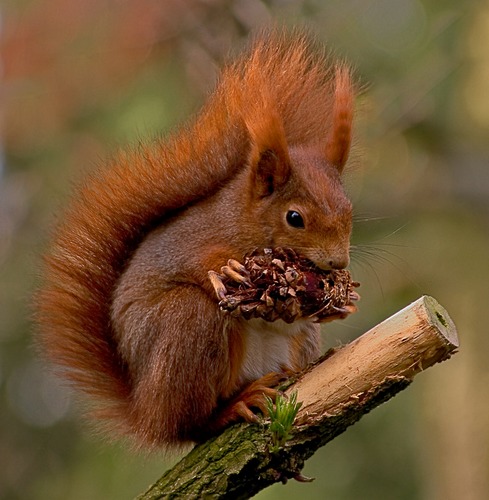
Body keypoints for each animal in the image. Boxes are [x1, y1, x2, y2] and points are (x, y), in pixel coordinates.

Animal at [35, 29, 354, 448]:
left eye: (349, 208)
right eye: (295, 218)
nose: (338, 262)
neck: (243, 223)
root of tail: (146, 411)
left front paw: (340, 303)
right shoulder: (189, 243)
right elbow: (194, 262)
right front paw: (226, 269)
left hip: (297, 341)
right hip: (188, 324)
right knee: (192, 423)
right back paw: (233, 406)